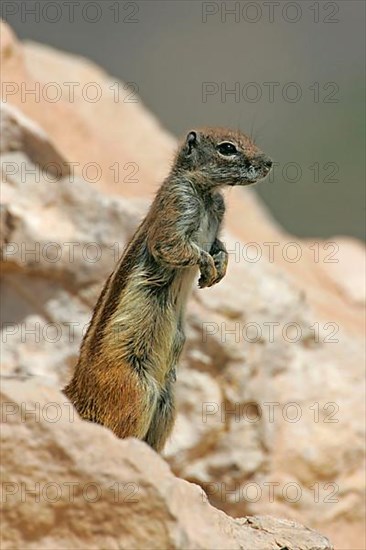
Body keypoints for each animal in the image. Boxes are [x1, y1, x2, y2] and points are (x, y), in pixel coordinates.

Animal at [64, 128, 274, 452]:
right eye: (227, 148)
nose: (268, 163)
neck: (206, 193)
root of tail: (78, 391)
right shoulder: (177, 206)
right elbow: (173, 246)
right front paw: (207, 265)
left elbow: (219, 245)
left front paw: (220, 266)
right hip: (138, 391)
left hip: (167, 402)